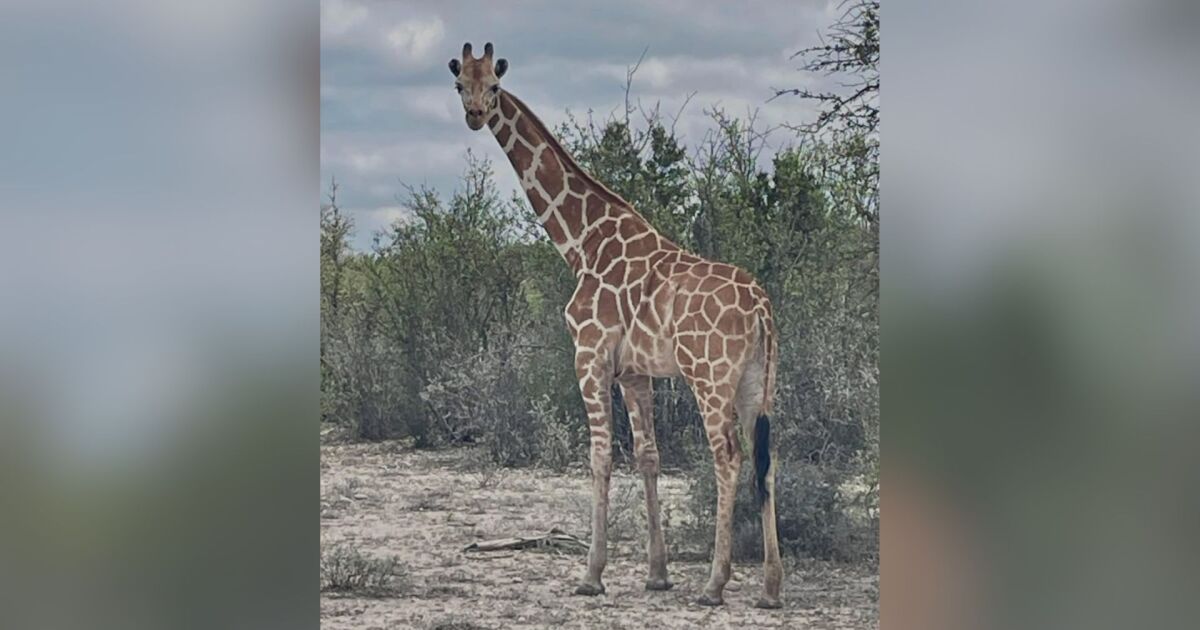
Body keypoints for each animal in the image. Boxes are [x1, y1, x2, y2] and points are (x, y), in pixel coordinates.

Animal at [449, 42, 783, 608]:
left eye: (493, 84)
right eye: (459, 85)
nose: (474, 115)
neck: (581, 241)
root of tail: (761, 306)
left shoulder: (589, 355)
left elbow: (600, 456)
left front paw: (591, 574)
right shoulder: (634, 371)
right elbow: (648, 456)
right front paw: (657, 573)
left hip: (710, 376)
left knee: (729, 457)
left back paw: (715, 584)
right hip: (758, 381)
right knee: (767, 457)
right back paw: (770, 588)